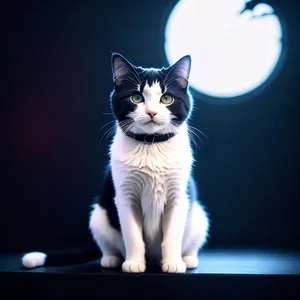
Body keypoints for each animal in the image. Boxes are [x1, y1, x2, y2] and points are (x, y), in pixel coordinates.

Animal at [21, 52, 210, 274]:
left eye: (166, 98)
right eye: (136, 98)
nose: (152, 112)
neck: (150, 144)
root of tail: (153, 260)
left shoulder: (178, 197)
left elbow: (172, 235)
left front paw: (172, 262)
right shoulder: (125, 196)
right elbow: (133, 235)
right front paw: (134, 263)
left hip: (199, 218)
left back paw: (187, 258)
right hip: (98, 216)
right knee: (109, 244)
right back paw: (111, 259)